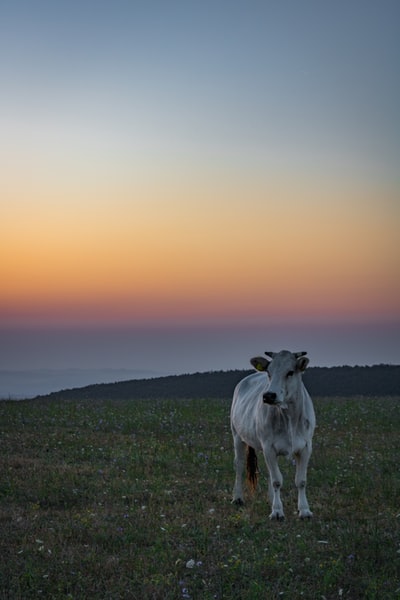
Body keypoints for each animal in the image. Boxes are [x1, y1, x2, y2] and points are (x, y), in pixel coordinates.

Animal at [231, 350, 316, 516]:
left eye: (290, 372)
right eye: (269, 373)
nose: (269, 395)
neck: (289, 418)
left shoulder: (306, 447)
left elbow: (301, 481)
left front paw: (304, 510)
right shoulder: (269, 447)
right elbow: (277, 480)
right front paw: (277, 511)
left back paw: (271, 499)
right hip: (237, 435)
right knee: (239, 465)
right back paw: (237, 498)